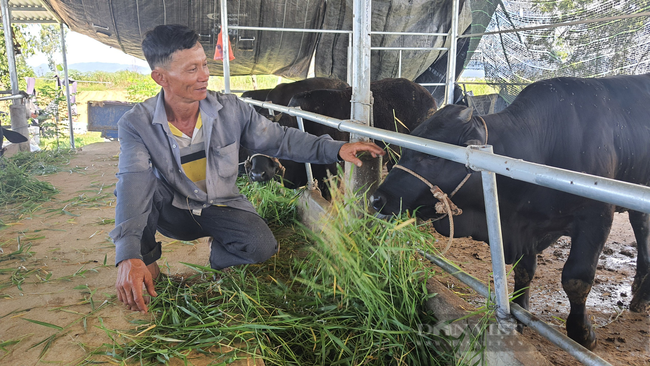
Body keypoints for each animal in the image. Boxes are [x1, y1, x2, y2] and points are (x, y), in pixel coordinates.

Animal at [368, 73, 648, 348]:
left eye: (433, 156)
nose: (377, 198)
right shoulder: (526, 227)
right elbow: (524, 270)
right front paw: (519, 311)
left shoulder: (596, 218)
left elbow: (576, 279)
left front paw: (582, 333)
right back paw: (640, 295)